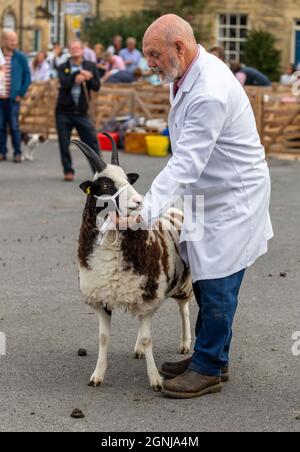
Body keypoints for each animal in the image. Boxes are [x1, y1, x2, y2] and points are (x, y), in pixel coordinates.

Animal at [72, 135, 192, 392]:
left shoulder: (149, 292)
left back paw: (185, 343)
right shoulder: (103, 298)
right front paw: (97, 376)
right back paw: (138, 349)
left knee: (184, 310)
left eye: (128, 180)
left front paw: (155, 380)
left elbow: (148, 338)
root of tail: (175, 209)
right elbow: (103, 338)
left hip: (182, 284)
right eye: (106, 186)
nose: (138, 201)